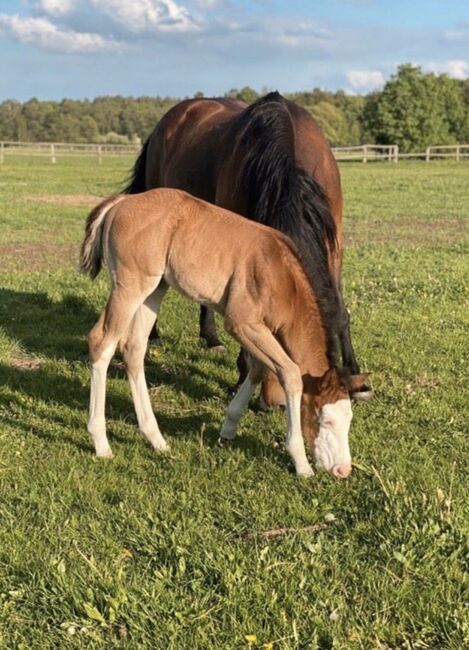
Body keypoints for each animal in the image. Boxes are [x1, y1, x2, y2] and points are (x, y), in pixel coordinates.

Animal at [80, 187, 368, 476]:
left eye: (349, 419)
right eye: (325, 419)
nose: (343, 469)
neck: (281, 276)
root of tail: (120, 203)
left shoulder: (260, 332)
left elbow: (259, 369)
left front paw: (228, 428)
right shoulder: (242, 323)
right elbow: (290, 374)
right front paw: (301, 462)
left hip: (155, 289)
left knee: (134, 349)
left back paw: (156, 439)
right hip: (129, 287)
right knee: (101, 342)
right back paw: (101, 443)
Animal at [125, 93, 370, 402]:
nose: (275, 401)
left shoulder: (333, 241)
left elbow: (337, 307)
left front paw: (355, 377)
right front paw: (242, 376)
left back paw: (211, 338)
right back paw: (153, 334)